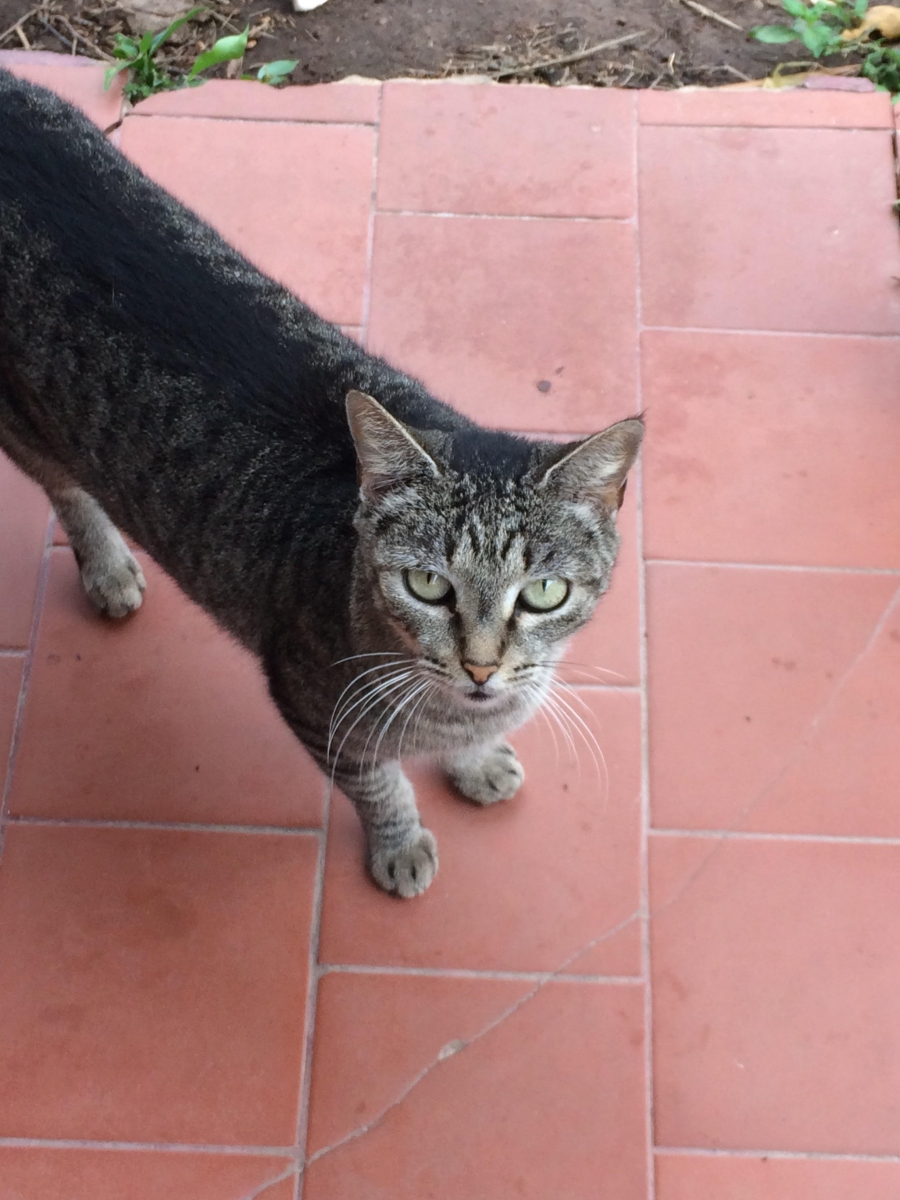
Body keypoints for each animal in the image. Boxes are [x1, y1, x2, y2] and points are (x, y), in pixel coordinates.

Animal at [1, 65, 648, 892]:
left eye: (544, 593)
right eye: (427, 585)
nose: (480, 665)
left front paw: (475, 763)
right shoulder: (313, 704)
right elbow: (378, 784)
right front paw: (400, 844)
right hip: (22, 421)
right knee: (67, 487)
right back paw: (108, 566)